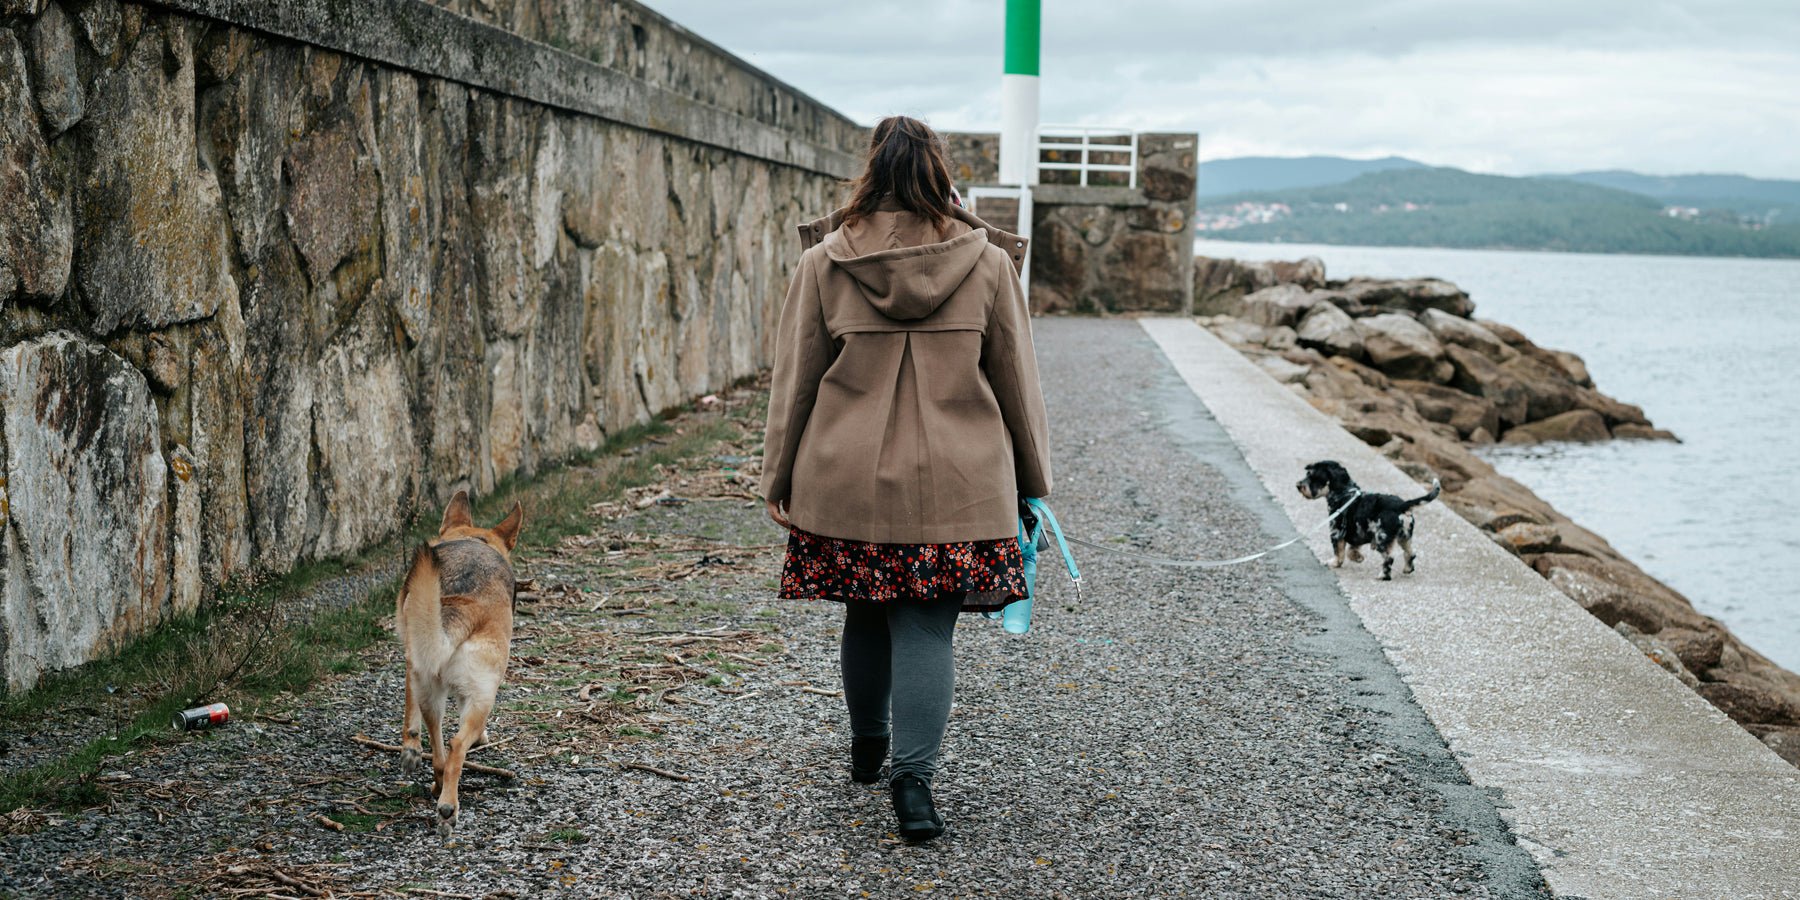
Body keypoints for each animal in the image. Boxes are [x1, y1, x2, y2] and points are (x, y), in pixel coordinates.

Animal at [397, 493, 525, 835]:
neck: (473, 540)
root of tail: (462, 606)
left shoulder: (412, 662)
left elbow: (409, 712)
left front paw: (410, 749)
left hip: (430, 690)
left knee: (439, 749)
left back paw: (437, 784)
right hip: (483, 698)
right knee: (456, 745)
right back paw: (448, 807)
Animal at [1303, 460, 1440, 579]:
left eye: (1312, 476)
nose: (1299, 485)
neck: (1344, 492)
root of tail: (1401, 505)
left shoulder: (1336, 533)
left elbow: (1339, 552)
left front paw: (1334, 563)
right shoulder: (1357, 533)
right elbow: (1351, 550)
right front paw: (1357, 557)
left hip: (1382, 539)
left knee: (1389, 559)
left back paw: (1383, 576)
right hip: (1405, 537)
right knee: (1411, 553)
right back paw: (1407, 569)